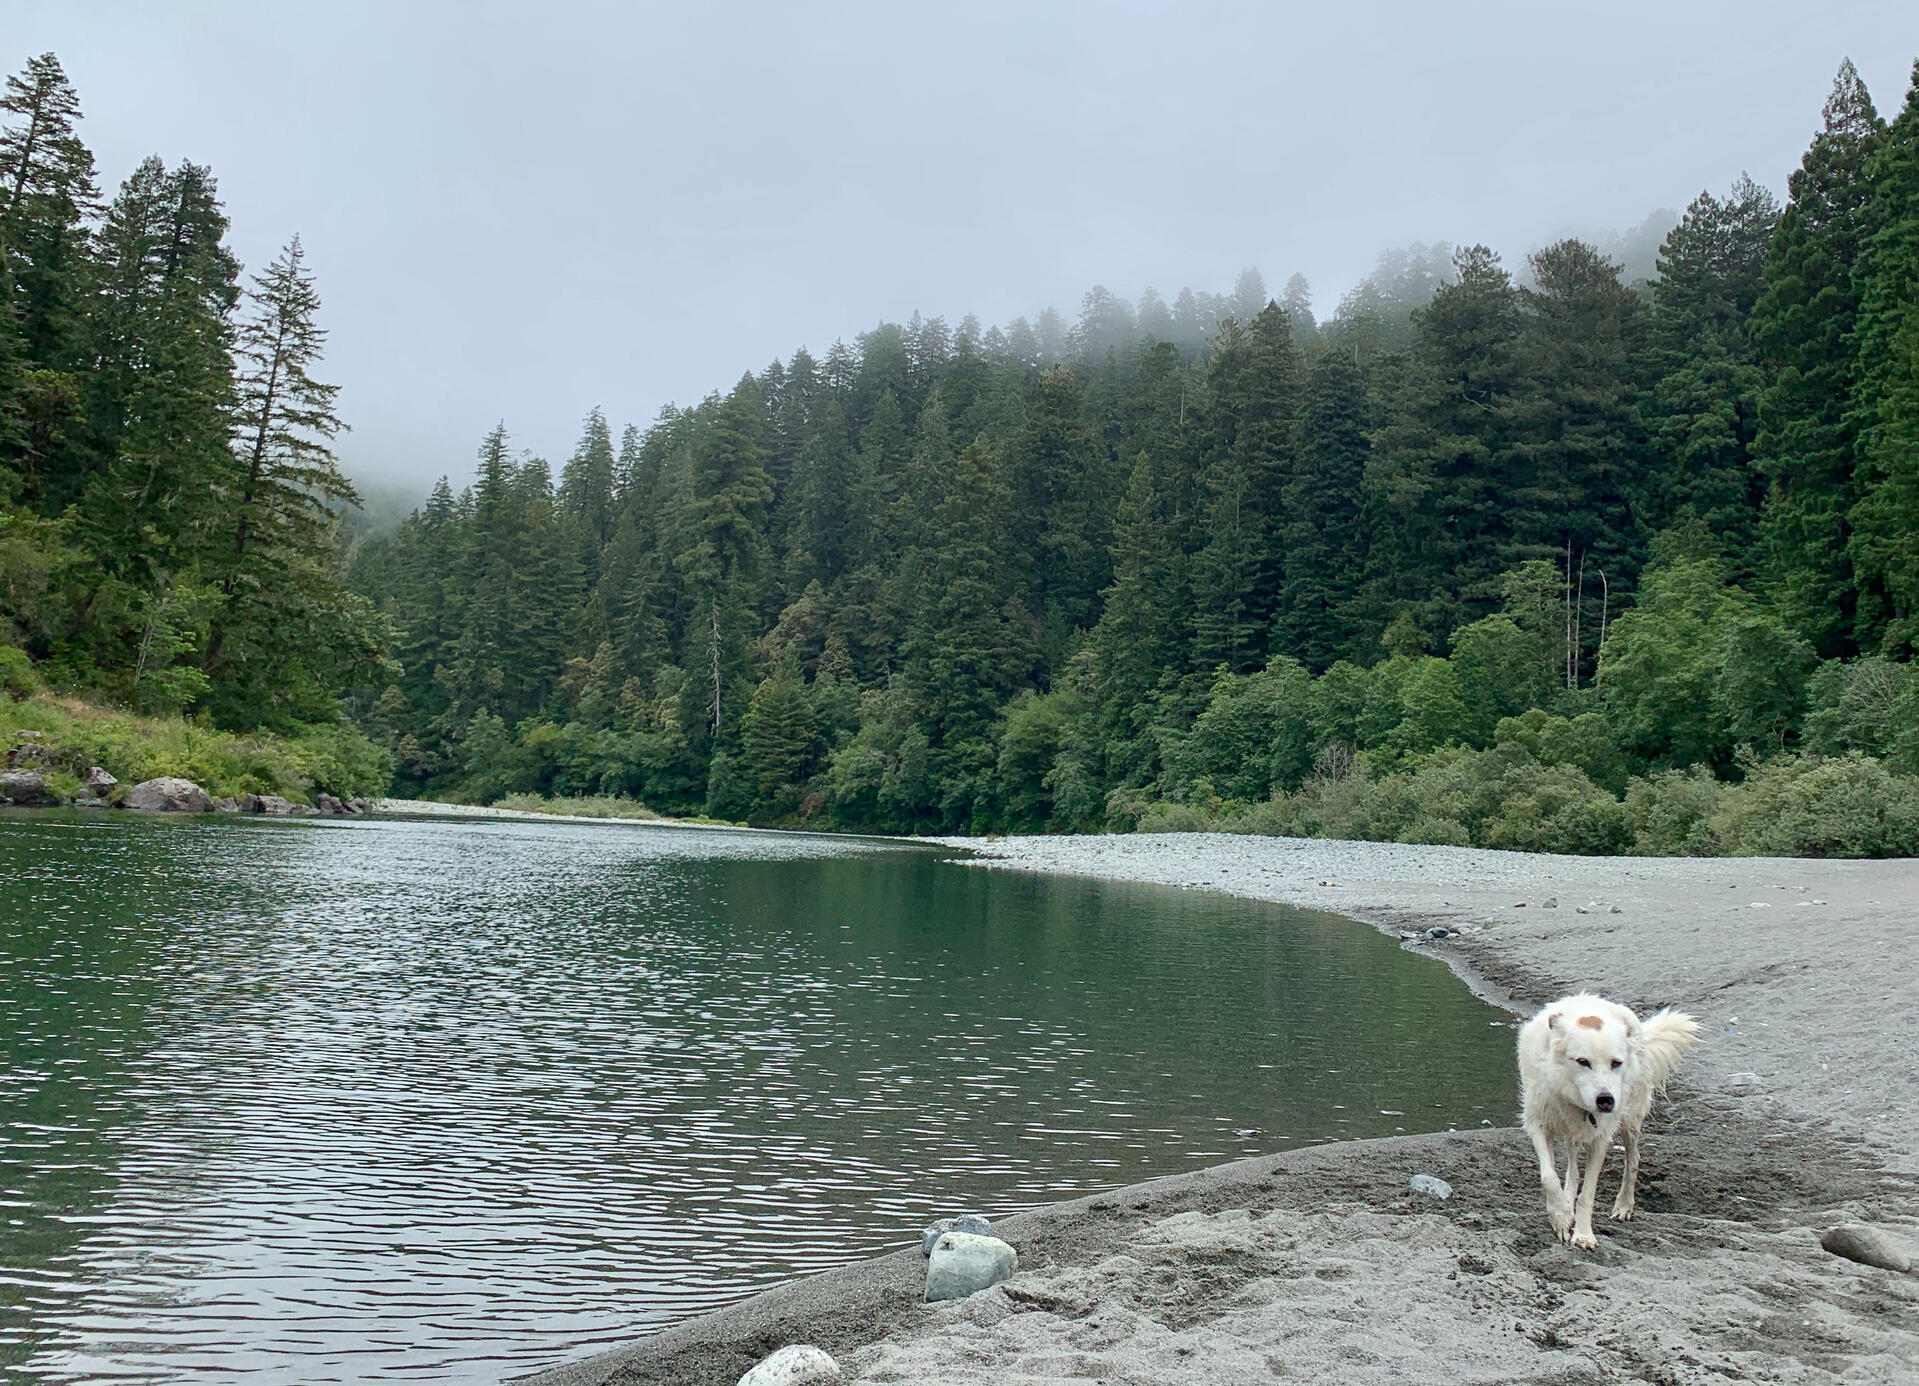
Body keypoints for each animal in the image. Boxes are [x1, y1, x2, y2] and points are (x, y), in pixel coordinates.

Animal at [1517, 993, 1700, 1249]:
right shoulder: (1538, 1123)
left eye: (1616, 1063)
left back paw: (1624, 1205)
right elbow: (1549, 1176)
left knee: (1633, 1160)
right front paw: (1561, 1217)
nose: (1606, 1100)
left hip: (1630, 1120)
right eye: (1583, 1061)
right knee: (1572, 1171)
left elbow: (1588, 1194)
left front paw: (1584, 1235)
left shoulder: (1600, 1139)